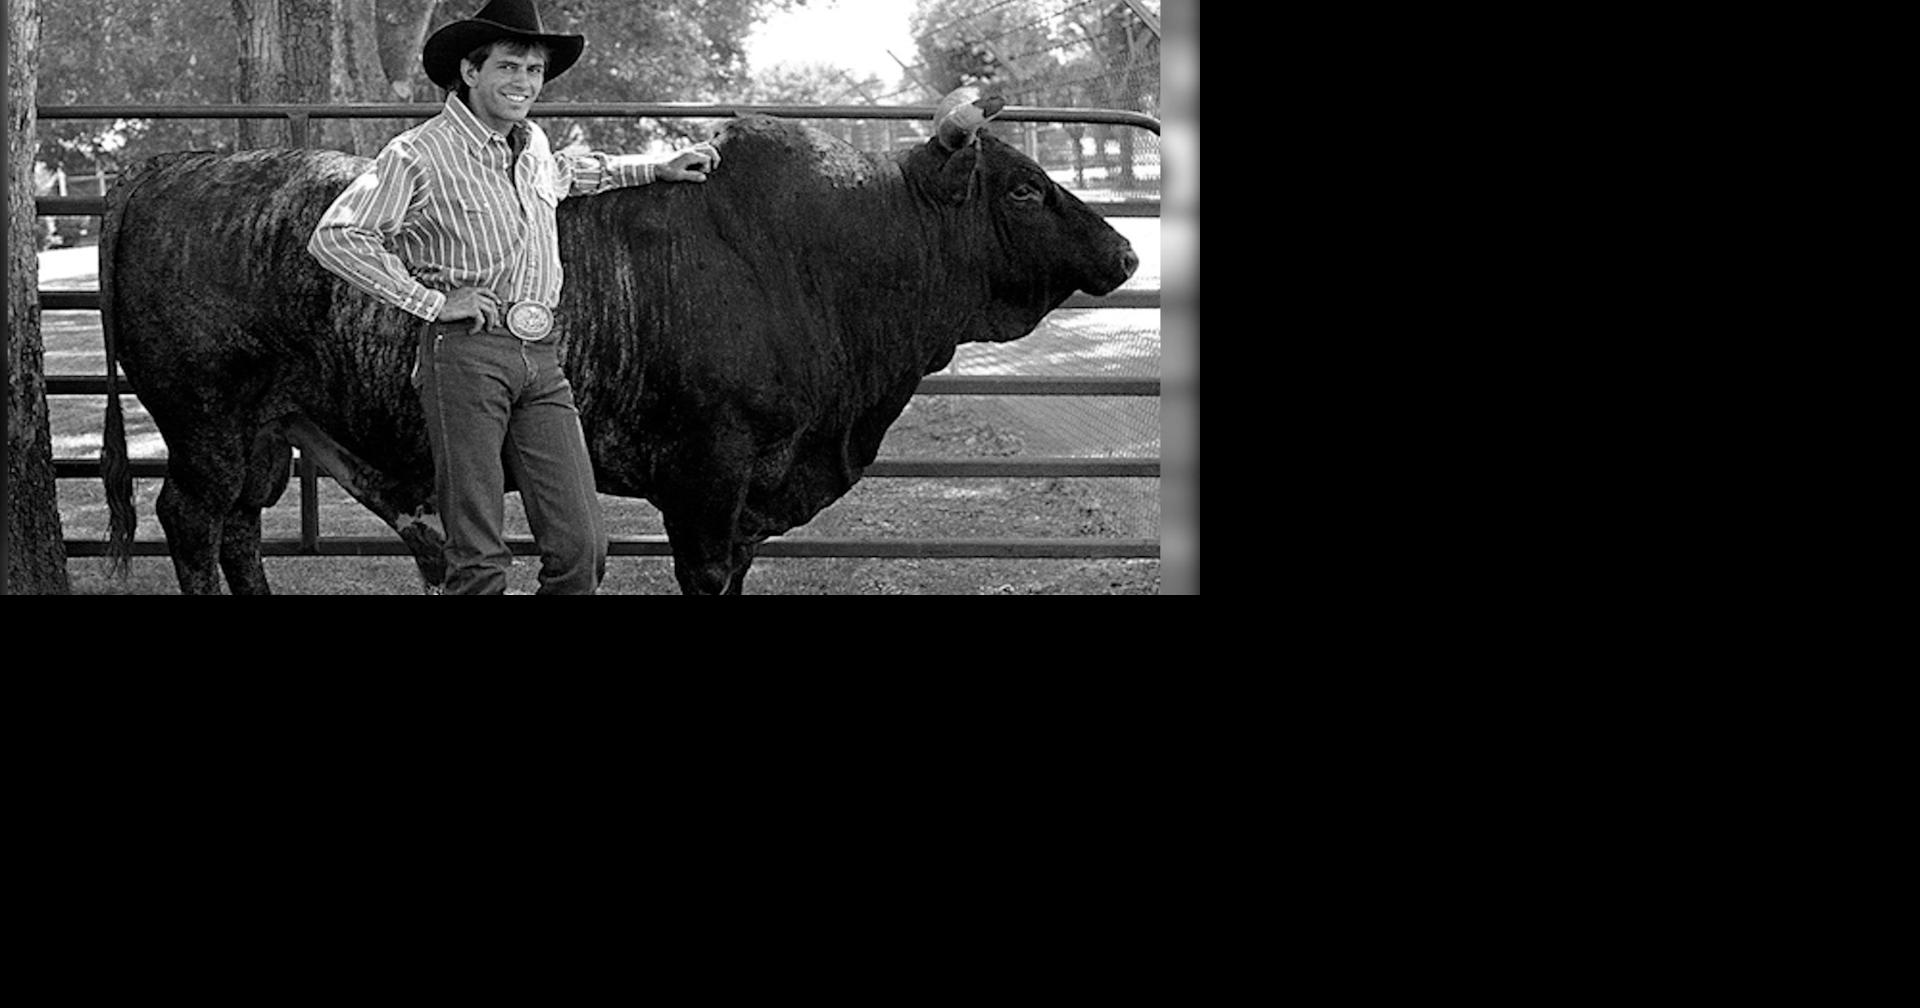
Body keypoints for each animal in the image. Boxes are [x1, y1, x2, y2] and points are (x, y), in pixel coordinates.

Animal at [99, 90, 1139, 594]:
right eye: (1022, 189)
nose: (1127, 250)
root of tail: (165, 168)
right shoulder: (710, 474)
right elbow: (706, 571)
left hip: (264, 435)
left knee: (240, 528)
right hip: (205, 422)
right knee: (190, 521)